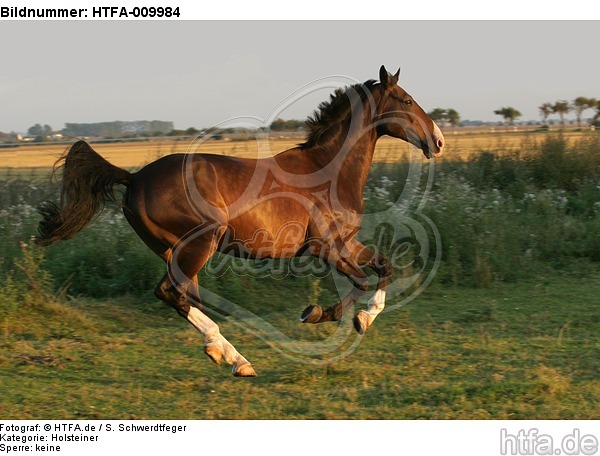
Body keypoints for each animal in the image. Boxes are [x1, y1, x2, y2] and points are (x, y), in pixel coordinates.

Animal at [36, 65, 440, 378]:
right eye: (406, 100)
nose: (437, 141)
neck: (328, 171)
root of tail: (133, 178)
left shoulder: (347, 243)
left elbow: (384, 267)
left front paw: (364, 317)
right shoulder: (324, 248)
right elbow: (358, 281)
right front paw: (323, 315)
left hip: (175, 252)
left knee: (185, 297)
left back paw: (225, 354)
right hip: (200, 244)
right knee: (171, 293)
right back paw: (237, 359)